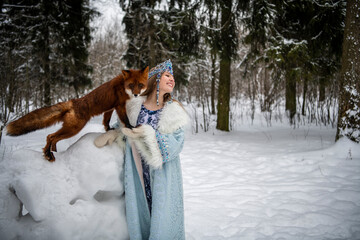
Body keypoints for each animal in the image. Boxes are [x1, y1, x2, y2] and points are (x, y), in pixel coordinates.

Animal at [6, 66, 148, 162]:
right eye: (131, 85)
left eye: (140, 85)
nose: (136, 94)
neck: (123, 85)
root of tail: (73, 102)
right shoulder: (119, 105)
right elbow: (126, 120)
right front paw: (131, 127)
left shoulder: (110, 108)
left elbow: (106, 121)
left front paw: (108, 129)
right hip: (73, 129)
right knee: (50, 136)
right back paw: (48, 154)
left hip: (70, 129)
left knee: (53, 138)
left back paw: (52, 151)